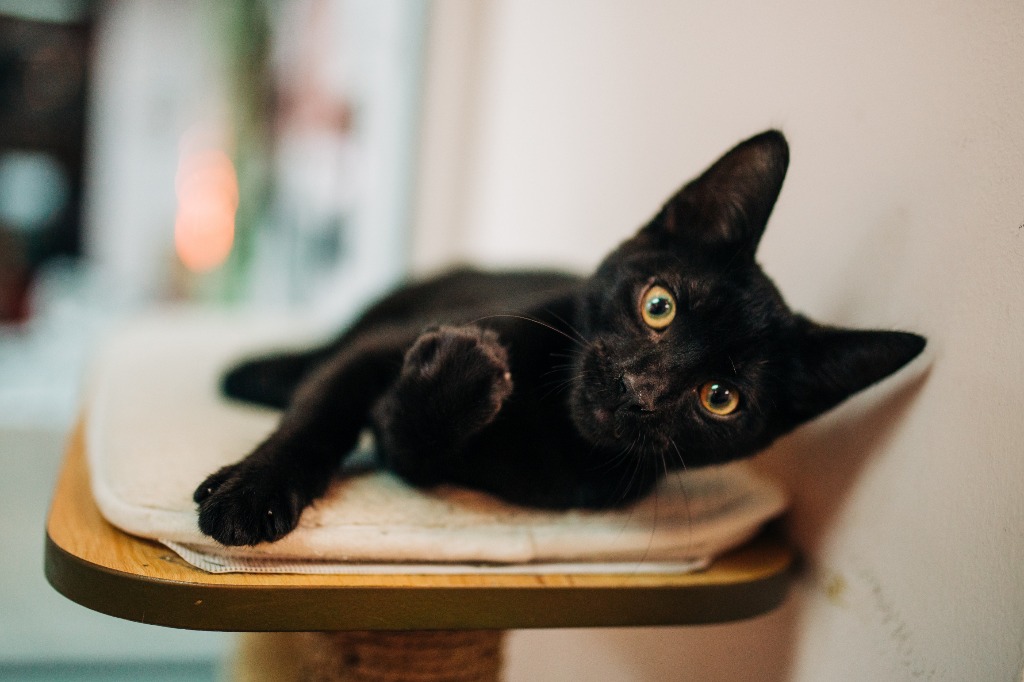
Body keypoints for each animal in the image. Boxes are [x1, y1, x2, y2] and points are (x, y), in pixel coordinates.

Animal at [194, 130, 925, 547]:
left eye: (721, 398)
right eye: (658, 305)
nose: (639, 389)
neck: (547, 416)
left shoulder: (448, 467)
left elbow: (406, 437)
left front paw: (458, 381)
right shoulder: (381, 351)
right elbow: (319, 418)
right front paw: (250, 493)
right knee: (319, 359)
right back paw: (259, 376)